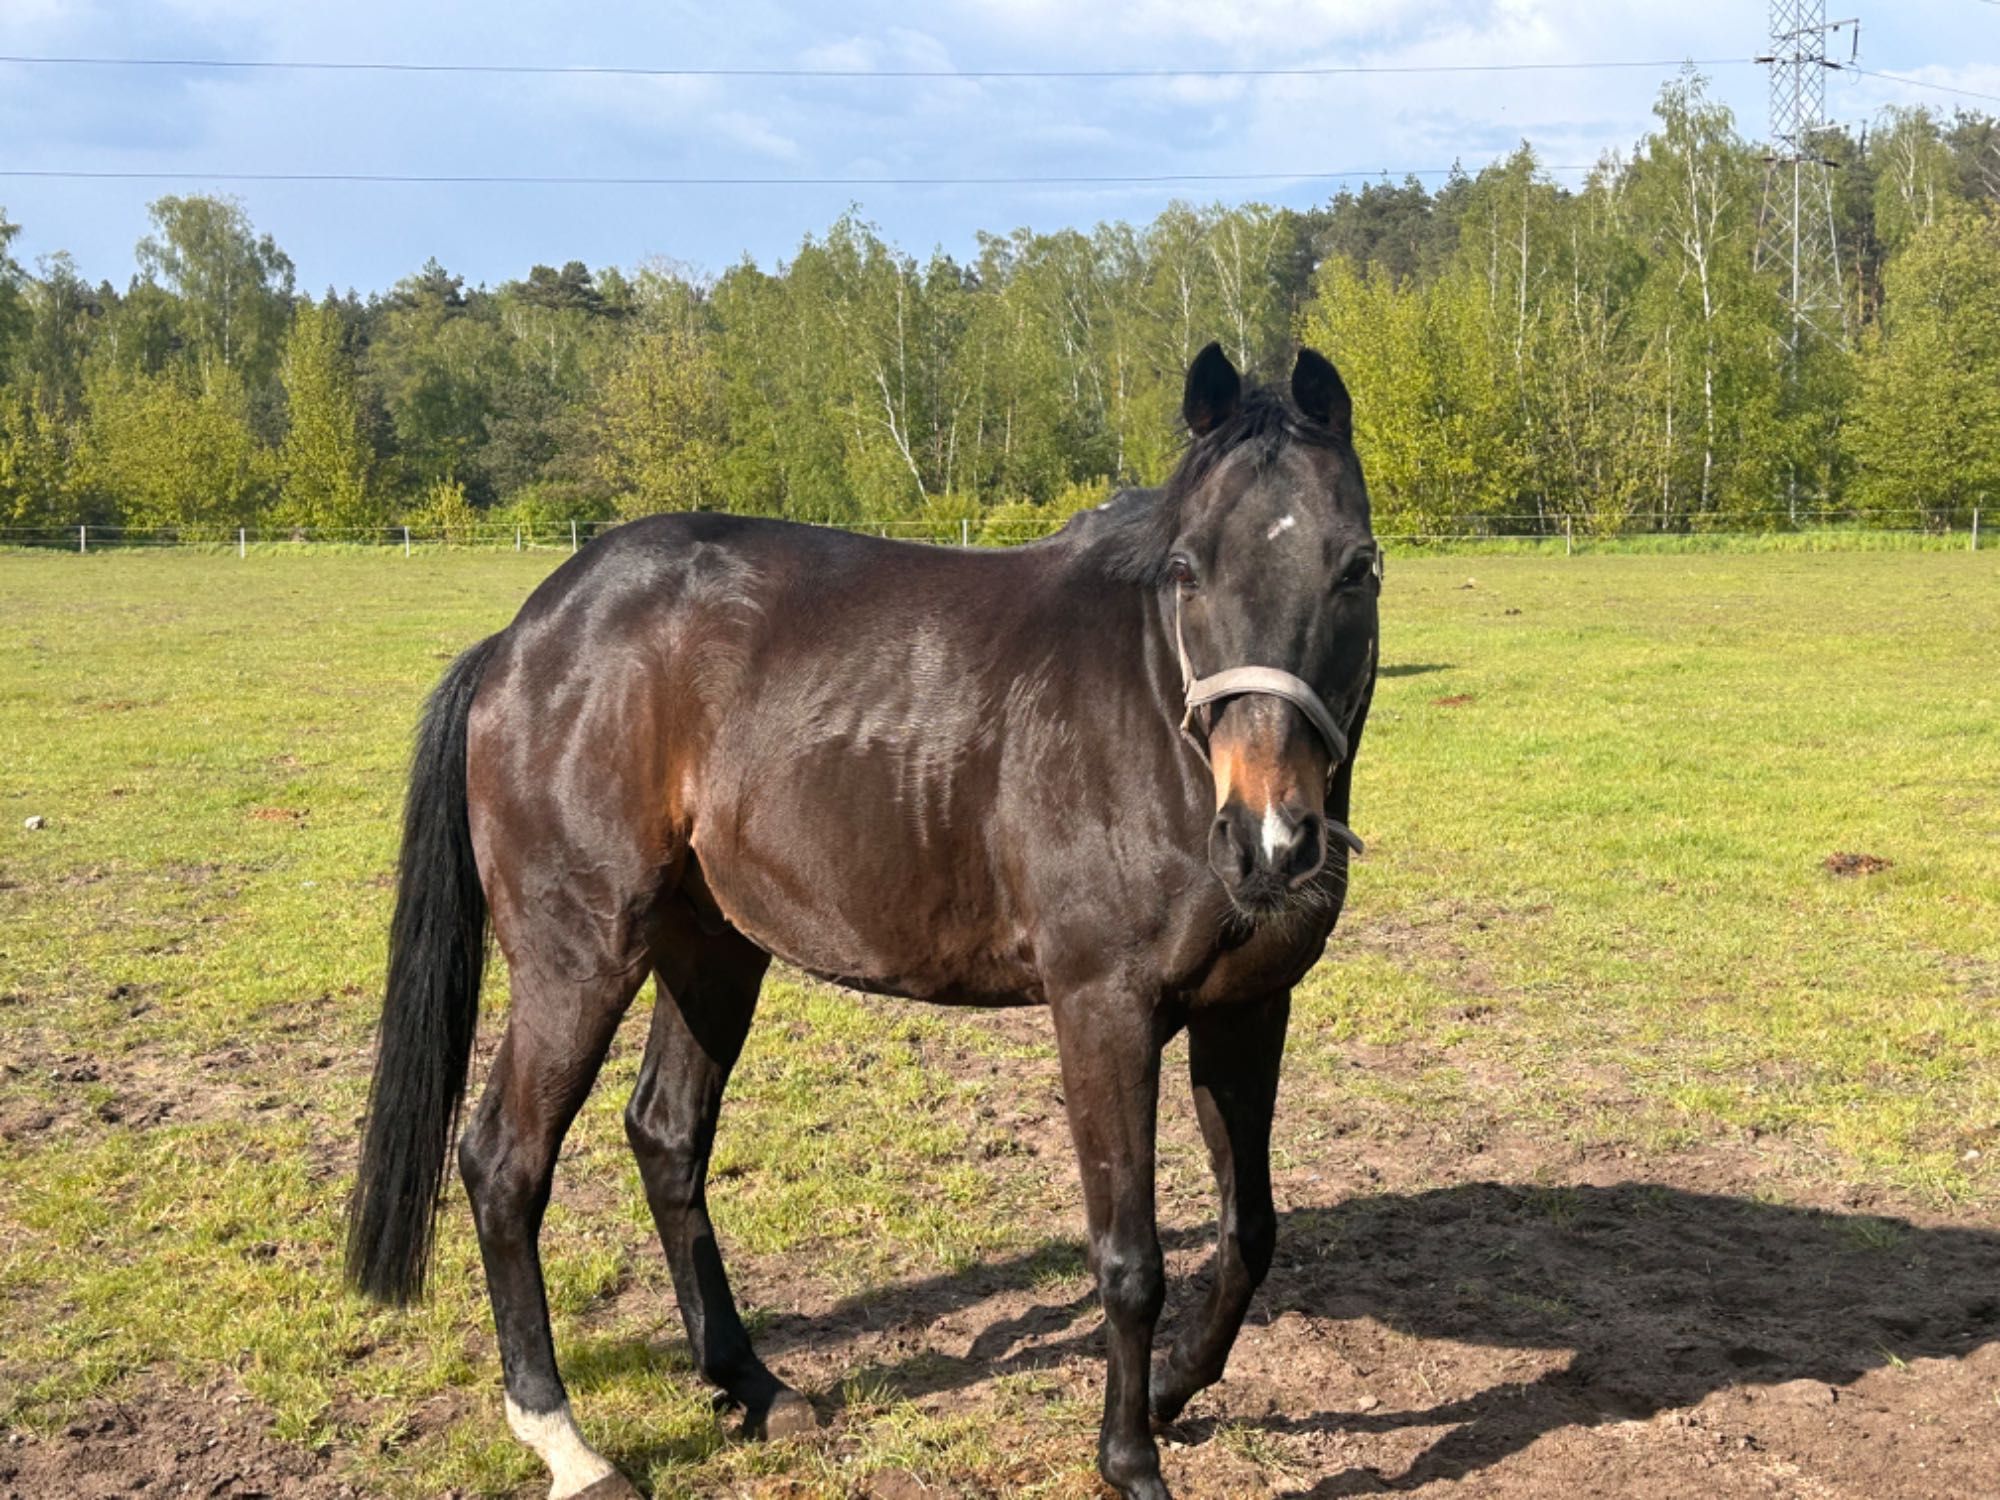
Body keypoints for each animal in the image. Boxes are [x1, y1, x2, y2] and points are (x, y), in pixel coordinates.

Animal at [348, 344, 1376, 1500]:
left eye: (1357, 568)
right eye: (1188, 571)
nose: (1270, 842)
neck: (1155, 715)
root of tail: (524, 639)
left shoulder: (1247, 1008)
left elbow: (1249, 1231)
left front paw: (1167, 1391)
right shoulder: (1103, 1012)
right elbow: (1129, 1258)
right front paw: (1128, 1459)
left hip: (710, 950)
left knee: (665, 1135)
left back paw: (751, 1385)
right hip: (580, 958)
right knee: (504, 1162)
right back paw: (566, 1441)